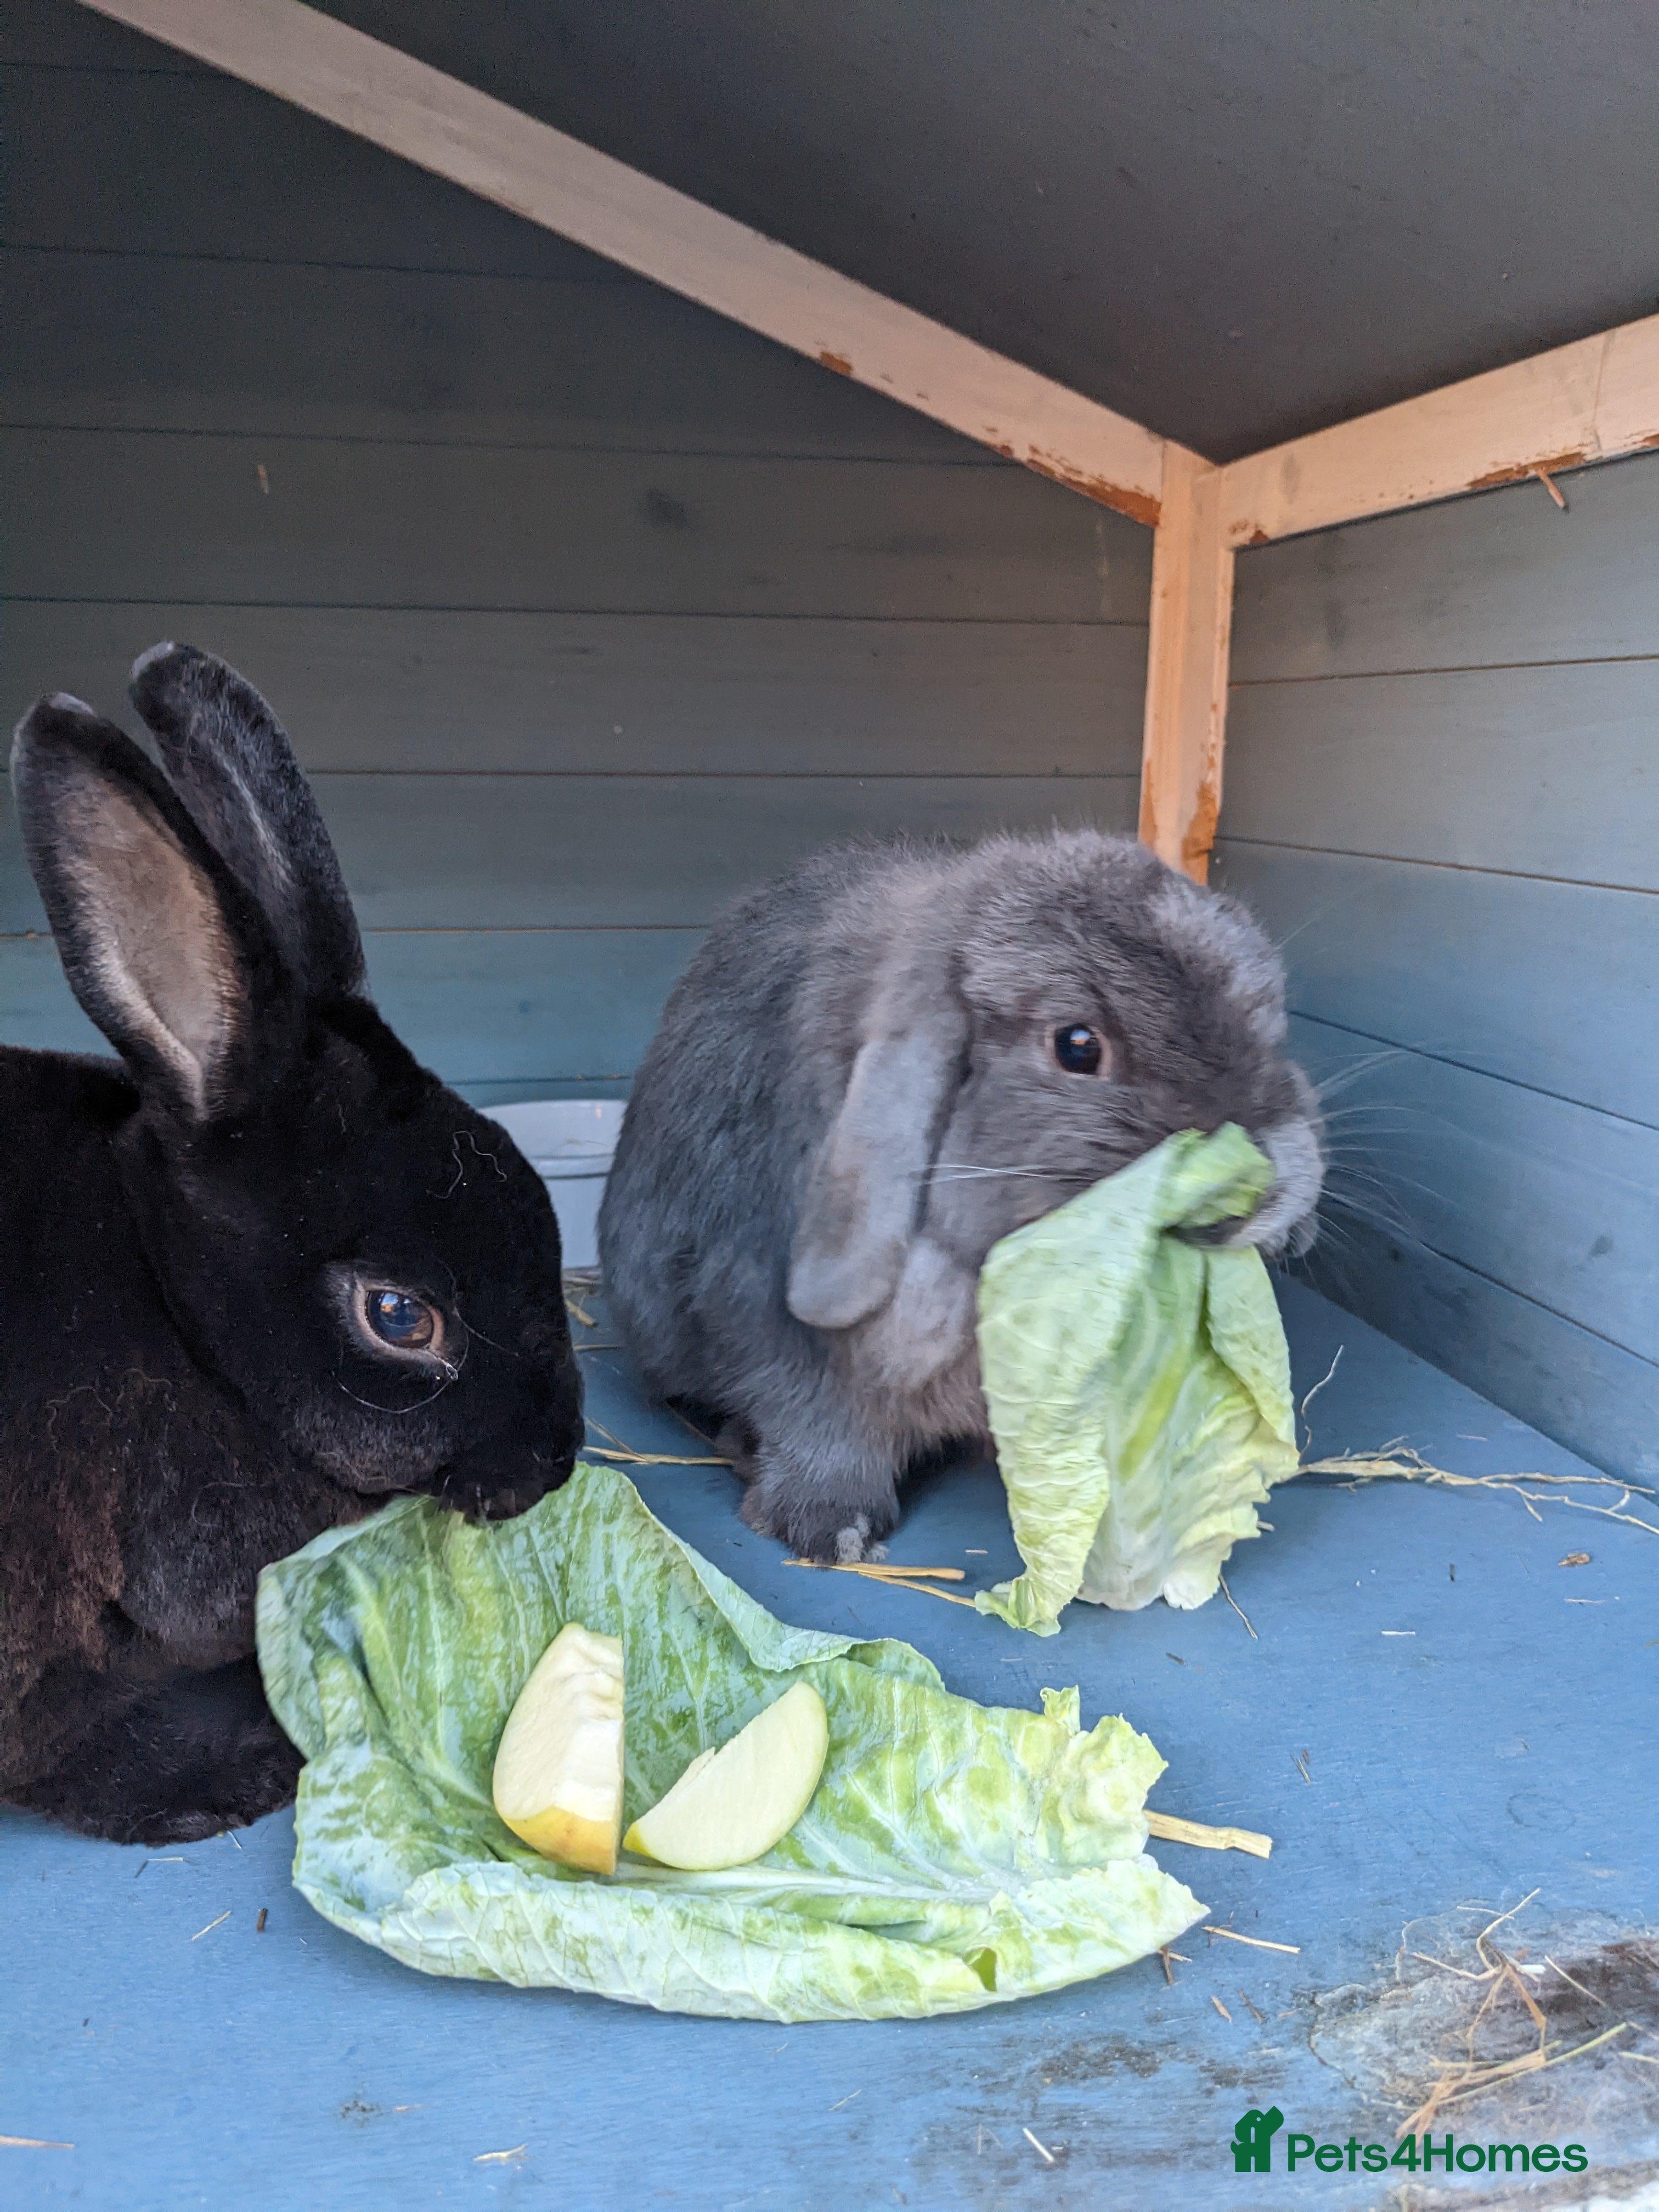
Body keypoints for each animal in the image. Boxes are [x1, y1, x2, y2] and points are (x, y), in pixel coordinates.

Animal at [599, 829, 1323, 1564]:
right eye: (1077, 1046)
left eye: (1264, 1017)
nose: (1261, 1188)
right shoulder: (769, 1324)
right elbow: (817, 1425)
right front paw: (833, 1531)